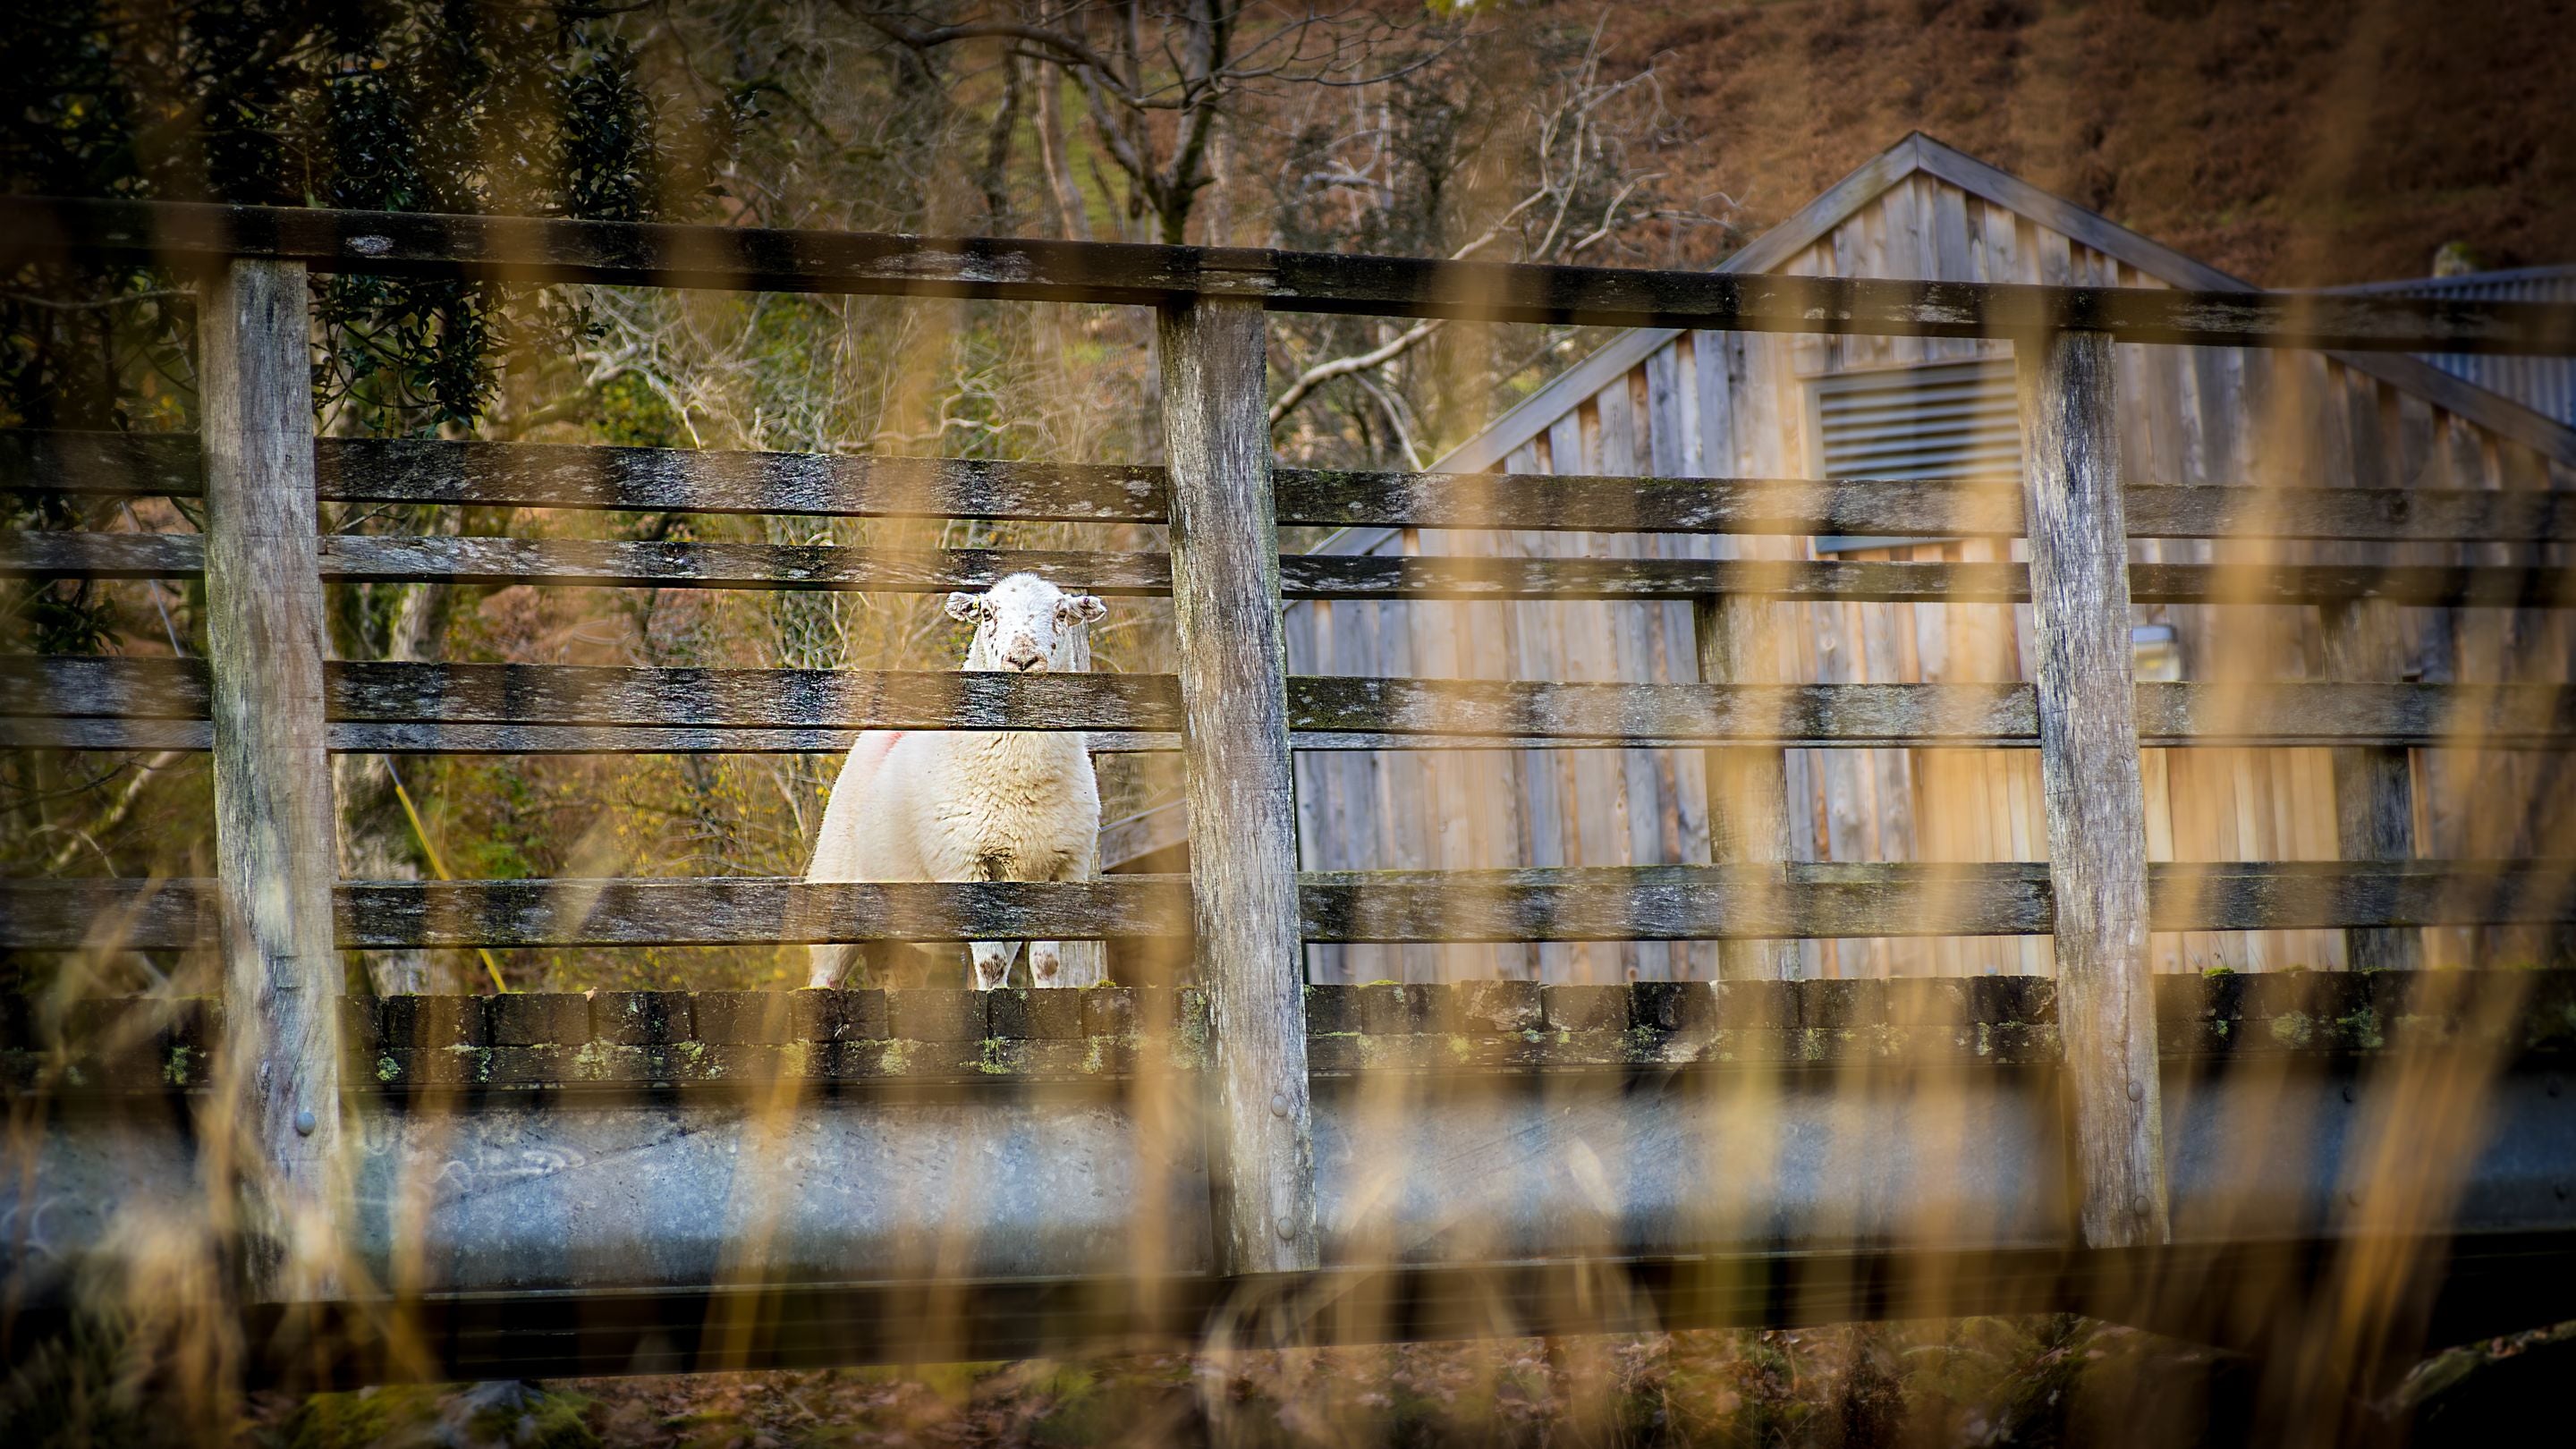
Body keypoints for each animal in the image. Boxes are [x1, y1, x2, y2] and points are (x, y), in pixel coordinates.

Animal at [805, 573, 1108, 990]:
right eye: (987, 613)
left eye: (1062, 614)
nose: (1022, 661)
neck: (1023, 786)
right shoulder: (966, 866)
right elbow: (992, 965)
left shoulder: (1063, 871)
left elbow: (1046, 963)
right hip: (834, 890)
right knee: (824, 974)